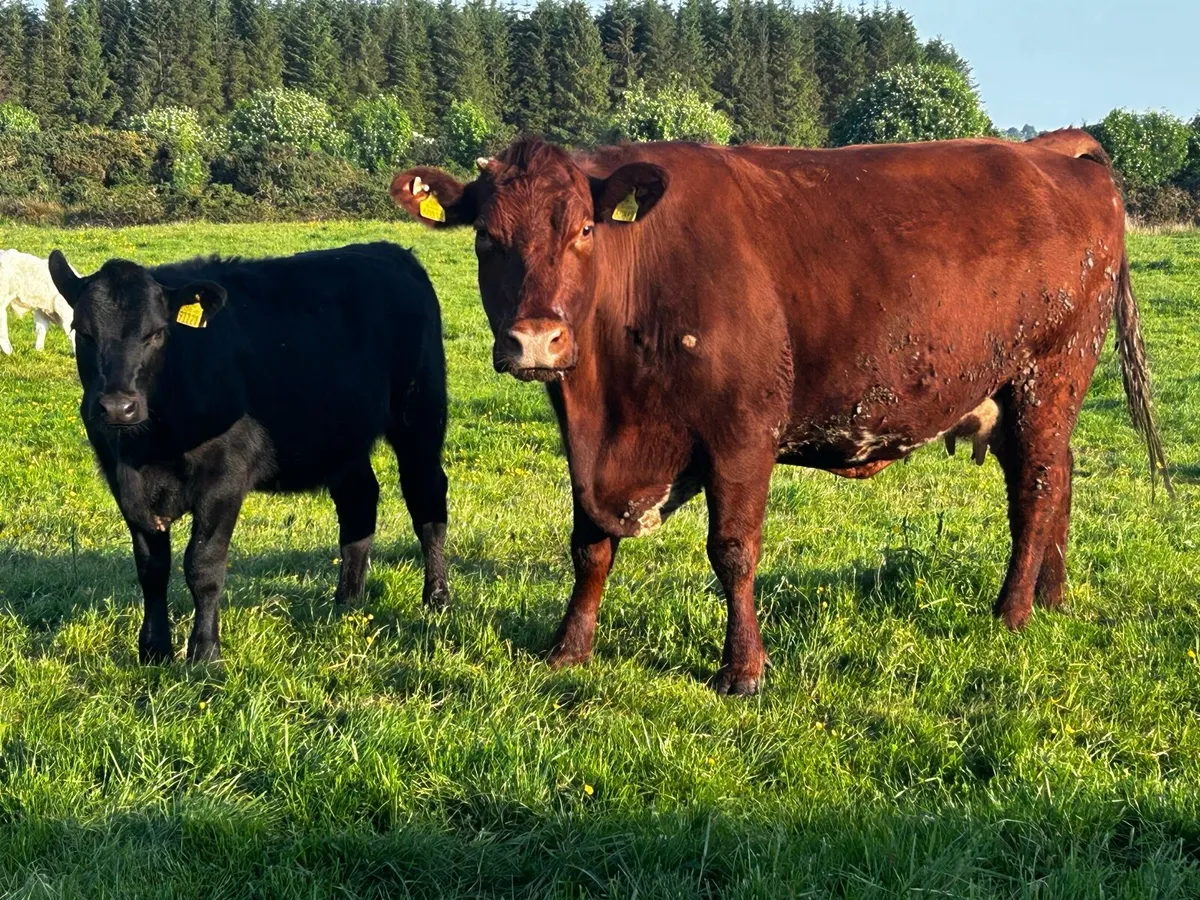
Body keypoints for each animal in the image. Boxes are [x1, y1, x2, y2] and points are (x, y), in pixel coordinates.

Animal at [47, 243, 450, 664]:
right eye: (82, 332)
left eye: (157, 333)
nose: (117, 407)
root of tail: (390, 251)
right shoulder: (125, 485)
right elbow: (152, 569)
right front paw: (154, 650)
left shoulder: (225, 477)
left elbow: (203, 566)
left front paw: (205, 653)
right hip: (343, 436)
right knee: (359, 502)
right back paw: (347, 601)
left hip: (420, 415)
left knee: (427, 501)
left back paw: (436, 598)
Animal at [390, 130, 1172, 695]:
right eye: (486, 238)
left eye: (584, 229)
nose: (536, 340)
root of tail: (1050, 150)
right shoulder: (587, 444)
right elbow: (589, 545)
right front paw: (568, 649)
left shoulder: (742, 432)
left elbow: (733, 551)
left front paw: (742, 670)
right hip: (1021, 392)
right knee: (1057, 478)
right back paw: (1053, 598)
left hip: (1050, 373)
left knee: (1036, 492)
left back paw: (1011, 612)